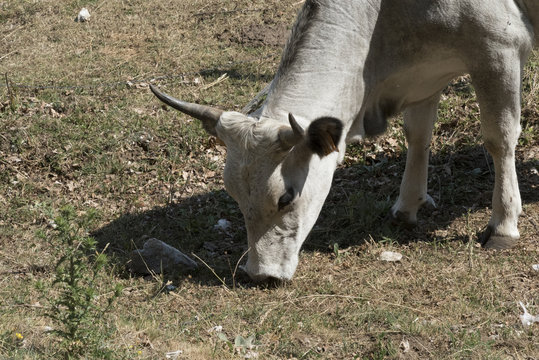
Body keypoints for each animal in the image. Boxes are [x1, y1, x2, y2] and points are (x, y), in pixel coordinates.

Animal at [150, 0, 536, 282]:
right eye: (234, 195)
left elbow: (499, 137)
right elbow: (418, 135)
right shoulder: (424, 71)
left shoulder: (498, 46)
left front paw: (503, 225)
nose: (261, 275)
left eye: (286, 197)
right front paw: (407, 206)